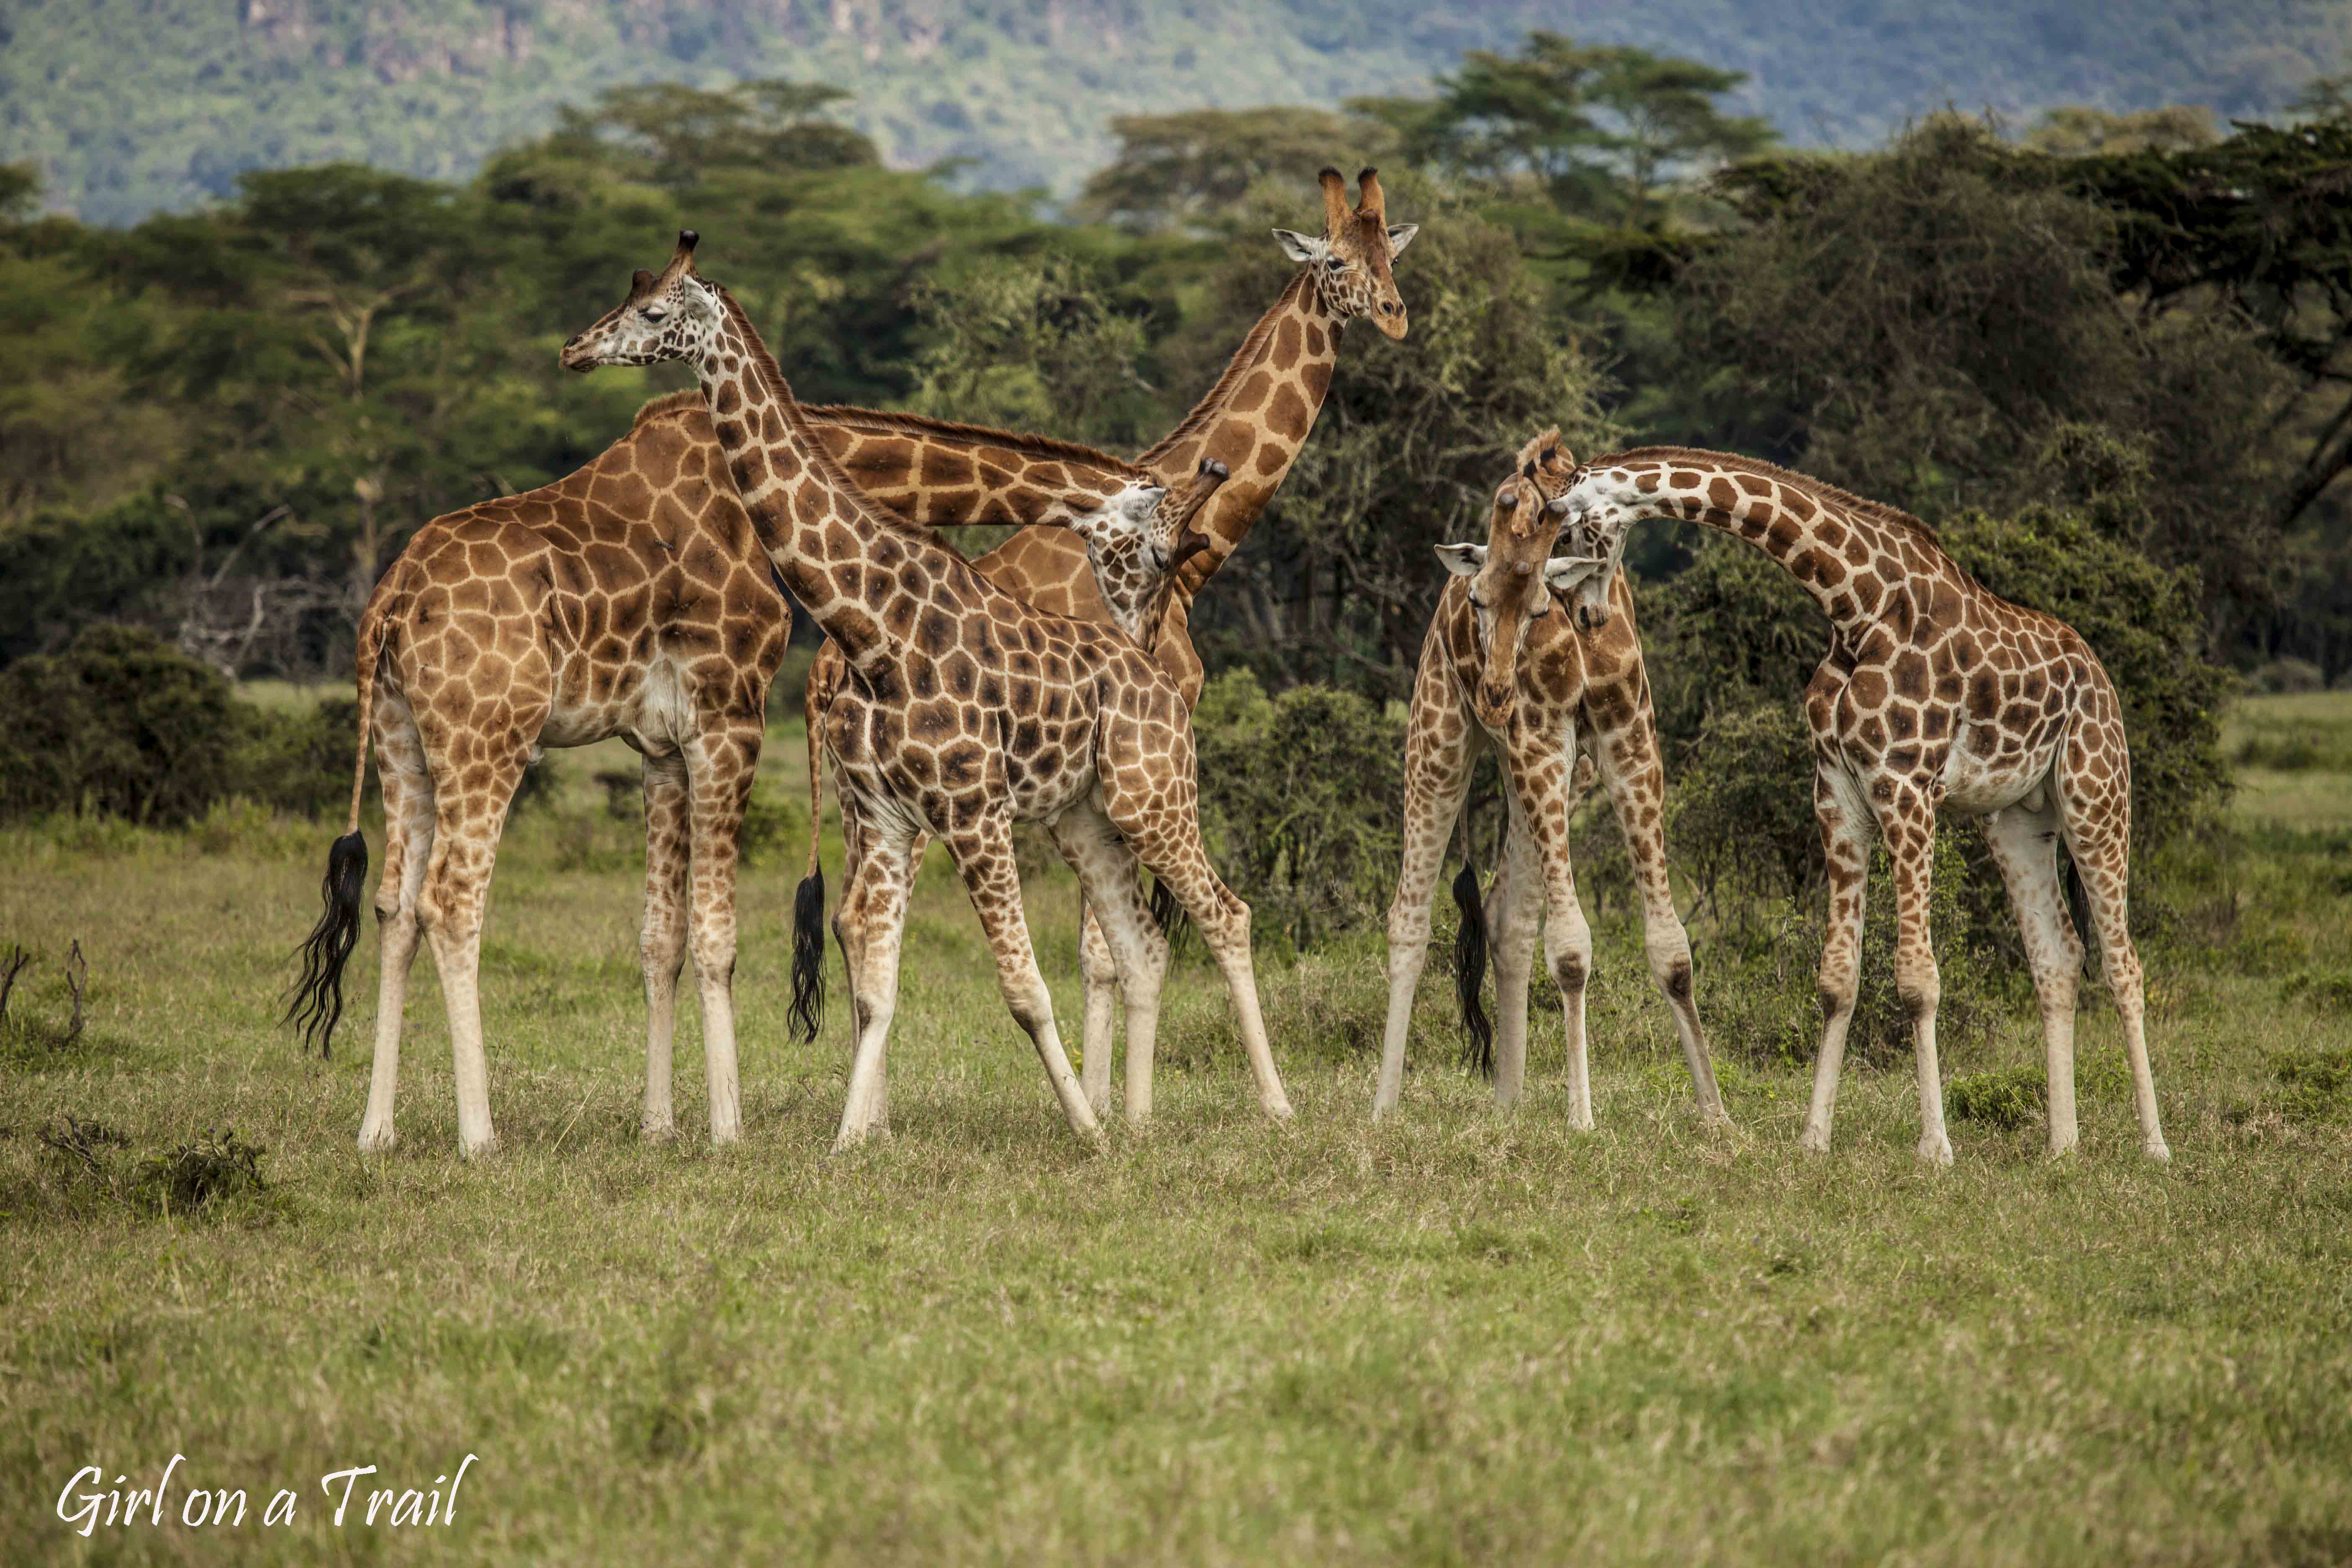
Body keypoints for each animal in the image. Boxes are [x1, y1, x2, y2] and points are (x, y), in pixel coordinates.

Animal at [564, 227, 1308, 1147]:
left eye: (654, 312)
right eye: (627, 297)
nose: (576, 348)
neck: (871, 622)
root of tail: (1161, 684)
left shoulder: (973, 810)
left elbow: (1024, 988)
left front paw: (1084, 1132)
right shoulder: (888, 813)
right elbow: (880, 978)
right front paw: (851, 1142)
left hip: (1152, 794)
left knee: (1225, 914)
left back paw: (1270, 1107)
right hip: (1086, 816)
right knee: (1143, 945)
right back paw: (1138, 1122)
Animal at [795, 165, 1411, 1109]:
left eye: (1393, 255)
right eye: (1337, 260)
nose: (1394, 313)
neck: (1194, 552)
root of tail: (821, 671)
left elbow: (1110, 943)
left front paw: (1109, 1097)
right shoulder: (1134, 737)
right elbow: (1106, 950)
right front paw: (1116, 1101)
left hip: (869, 795)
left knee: (852, 922)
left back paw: (876, 1119)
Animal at [1373, 430, 1731, 1128]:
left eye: (1541, 604)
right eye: (1479, 600)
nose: (1496, 695)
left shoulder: (1630, 746)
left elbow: (1673, 947)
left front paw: (1717, 1115)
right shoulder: (1540, 743)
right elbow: (1569, 947)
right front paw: (1582, 1119)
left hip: (1542, 774)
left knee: (1506, 915)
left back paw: (1508, 1103)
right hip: (1442, 739)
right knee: (1410, 915)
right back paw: (1382, 1109)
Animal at [1552, 446, 2173, 1161]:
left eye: (1573, 532)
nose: (1585, 618)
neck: (1856, 604)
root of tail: (2100, 675)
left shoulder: (1905, 785)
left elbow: (1917, 980)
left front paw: (1935, 1148)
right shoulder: (1838, 793)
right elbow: (1837, 978)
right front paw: (1814, 1138)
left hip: (2096, 793)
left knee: (2124, 964)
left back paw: (2155, 1146)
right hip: (2017, 819)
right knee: (2059, 958)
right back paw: (2062, 1146)